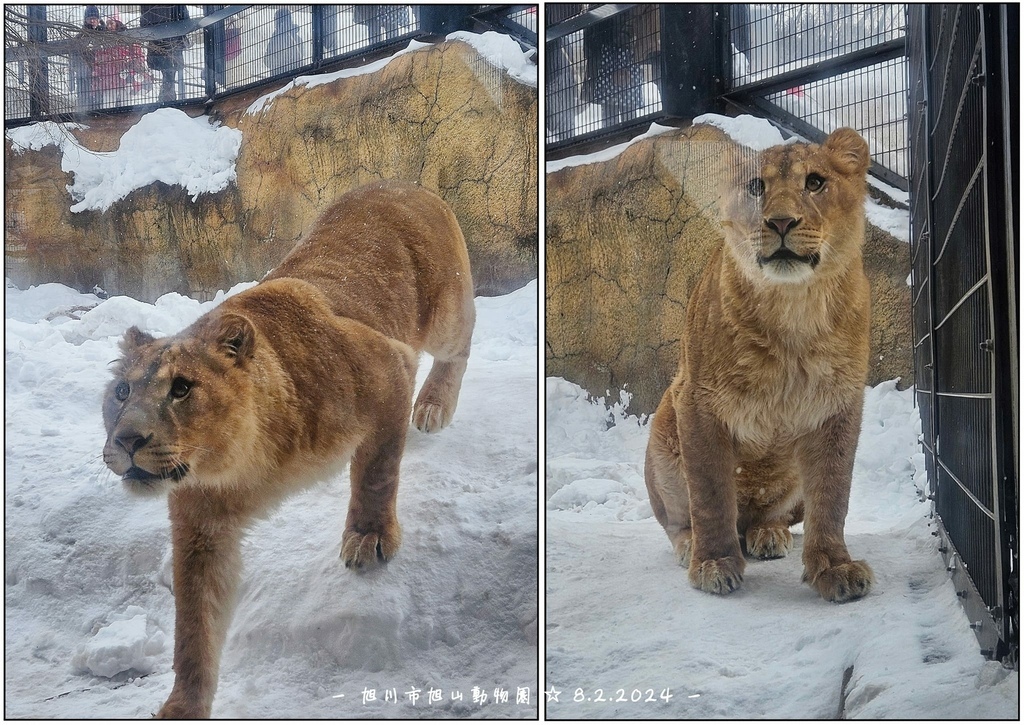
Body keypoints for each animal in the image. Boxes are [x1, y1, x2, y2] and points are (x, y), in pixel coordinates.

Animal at [99, 180, 475, 712]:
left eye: (182, 389)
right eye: (122, 391)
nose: (128, 439)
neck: (245, 464)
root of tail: (401, 183)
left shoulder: (388, 364)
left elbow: (376, 473)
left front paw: (368, 537)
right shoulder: (200, 528)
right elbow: (194, 625)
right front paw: (183, 706)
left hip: (445, 314)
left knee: (461, 341)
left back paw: (432, 407)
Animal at [647, 130, 872, 606]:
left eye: (815, 182)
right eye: (756, 187)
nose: (781, 222)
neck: (793, 311)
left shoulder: (838, 406)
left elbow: (833, 492)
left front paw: (835, 568)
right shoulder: (697, 401)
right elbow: (710, 490)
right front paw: (713, 564)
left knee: (771, 516)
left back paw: (769, 534)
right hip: (662, 428)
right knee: (680, 518)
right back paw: (691, 544)